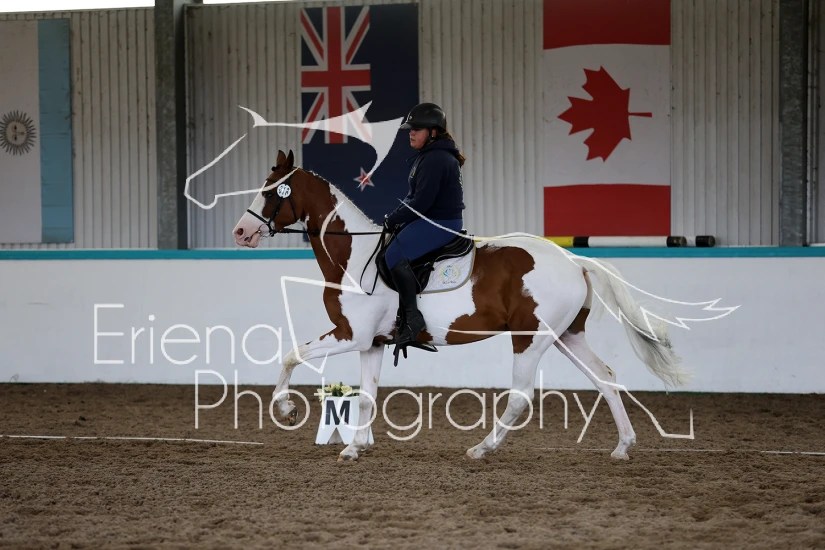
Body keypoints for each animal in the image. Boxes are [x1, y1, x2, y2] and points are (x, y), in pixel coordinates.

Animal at [232, 149, 689, 462]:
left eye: (272, 191)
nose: (240, 232)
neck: (354, 255)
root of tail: (576, 261)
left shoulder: (350, 335)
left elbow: (291, 356)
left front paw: (288, 409)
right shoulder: (372, 342)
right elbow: (365, 396)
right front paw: (354, 447)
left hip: (530, 339)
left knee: (521, 396)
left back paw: (481, 448)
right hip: (565, 336)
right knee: (605, 379)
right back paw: (623, 446)